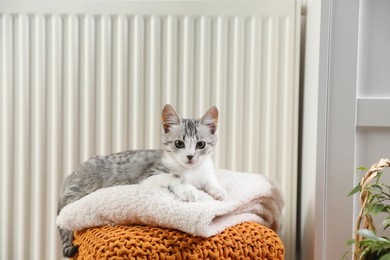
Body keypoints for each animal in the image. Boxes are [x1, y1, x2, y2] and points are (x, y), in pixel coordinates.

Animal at [56, 104, 227, 258]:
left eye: (200, 144)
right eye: (179, 143)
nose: (190, 156)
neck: (192, 170)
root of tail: (68, 179)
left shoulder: (206, 173)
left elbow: (210, 182)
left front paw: (220, 191)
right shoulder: (149, 177)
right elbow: (174, 177)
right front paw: (189, 190)